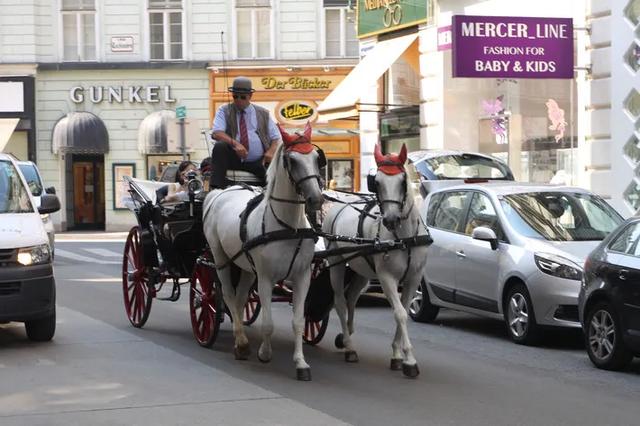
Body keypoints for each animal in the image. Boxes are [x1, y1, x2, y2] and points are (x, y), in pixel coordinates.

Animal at [204, 125, 324, 382]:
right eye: (292, 160)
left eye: (315, 158)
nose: (316, 199)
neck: (288, 228)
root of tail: (221, 192)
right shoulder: (266, 278)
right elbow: (268, 323)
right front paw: (265, 354)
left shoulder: (302, 277)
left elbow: (298, 321)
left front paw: (301, 363)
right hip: (221, 259)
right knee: (229, 295)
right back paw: (240, 343)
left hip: (247, 266)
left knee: (240, 298)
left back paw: (241, 338)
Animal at [320, 145, 430, 378]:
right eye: (376, 182)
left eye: (402, 180)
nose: (390, 219)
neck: (404, 237)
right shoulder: (387, 278)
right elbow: (400, 314)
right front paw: (409, 360)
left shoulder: (413, 278)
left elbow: (403, 311)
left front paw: (397, 355)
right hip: (336, 263)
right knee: (340, 301)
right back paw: (349, 347)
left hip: (362, 270)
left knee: (352, 297)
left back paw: (347, 335)